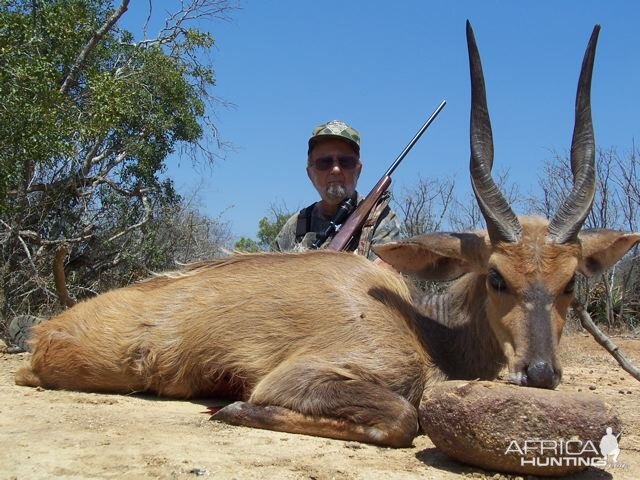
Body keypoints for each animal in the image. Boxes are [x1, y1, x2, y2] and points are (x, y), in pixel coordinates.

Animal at [15, 23, 640, 450]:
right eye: (496, 277)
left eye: (570, 284)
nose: (539, 375)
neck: (422, 329)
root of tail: (47, 329)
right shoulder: (302, 376)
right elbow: (401, 417)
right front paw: (231, 409)